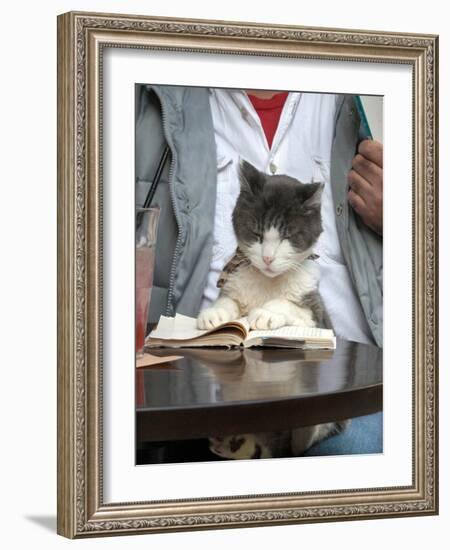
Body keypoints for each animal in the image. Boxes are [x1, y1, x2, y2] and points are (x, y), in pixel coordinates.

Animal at [195, 161, 346, 462]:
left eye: (288, 236)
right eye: (256, 234)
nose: (267, 258)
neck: (267, 283)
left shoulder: (317, 311)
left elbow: (290, 305)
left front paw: (265, 314)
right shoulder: (235, 282)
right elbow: (229, 300)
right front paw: (215, 315)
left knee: (302, 441)